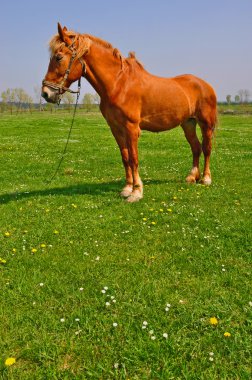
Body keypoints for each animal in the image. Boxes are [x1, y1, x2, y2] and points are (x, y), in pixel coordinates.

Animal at [41, 21, 217, 202]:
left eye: (58, 57)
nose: (46, 93)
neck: (119, 84)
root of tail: (205, 85)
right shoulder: (116, 128)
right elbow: (125, 157)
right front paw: (127, 188)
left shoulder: (132, 128)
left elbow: (134, 158)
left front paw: (136, 192)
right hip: (188, 123)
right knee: (195, 147)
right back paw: (192, 177)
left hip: (206, 124)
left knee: (206, 148)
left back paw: (206, 178)